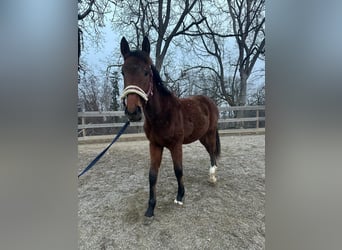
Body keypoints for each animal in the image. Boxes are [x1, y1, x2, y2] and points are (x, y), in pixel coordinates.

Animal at [120, 36, 220, 218]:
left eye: (146, 72)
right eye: (123, 72)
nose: (132, 112)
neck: (162, 115)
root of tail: (209, 101)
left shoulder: (175, 145)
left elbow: (178, 170)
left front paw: (180, 196)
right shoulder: (155, 145)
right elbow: (152, 175)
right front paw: (150, 208)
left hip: (209, 134)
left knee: (212, 152)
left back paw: (212, 176)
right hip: (201, 136)